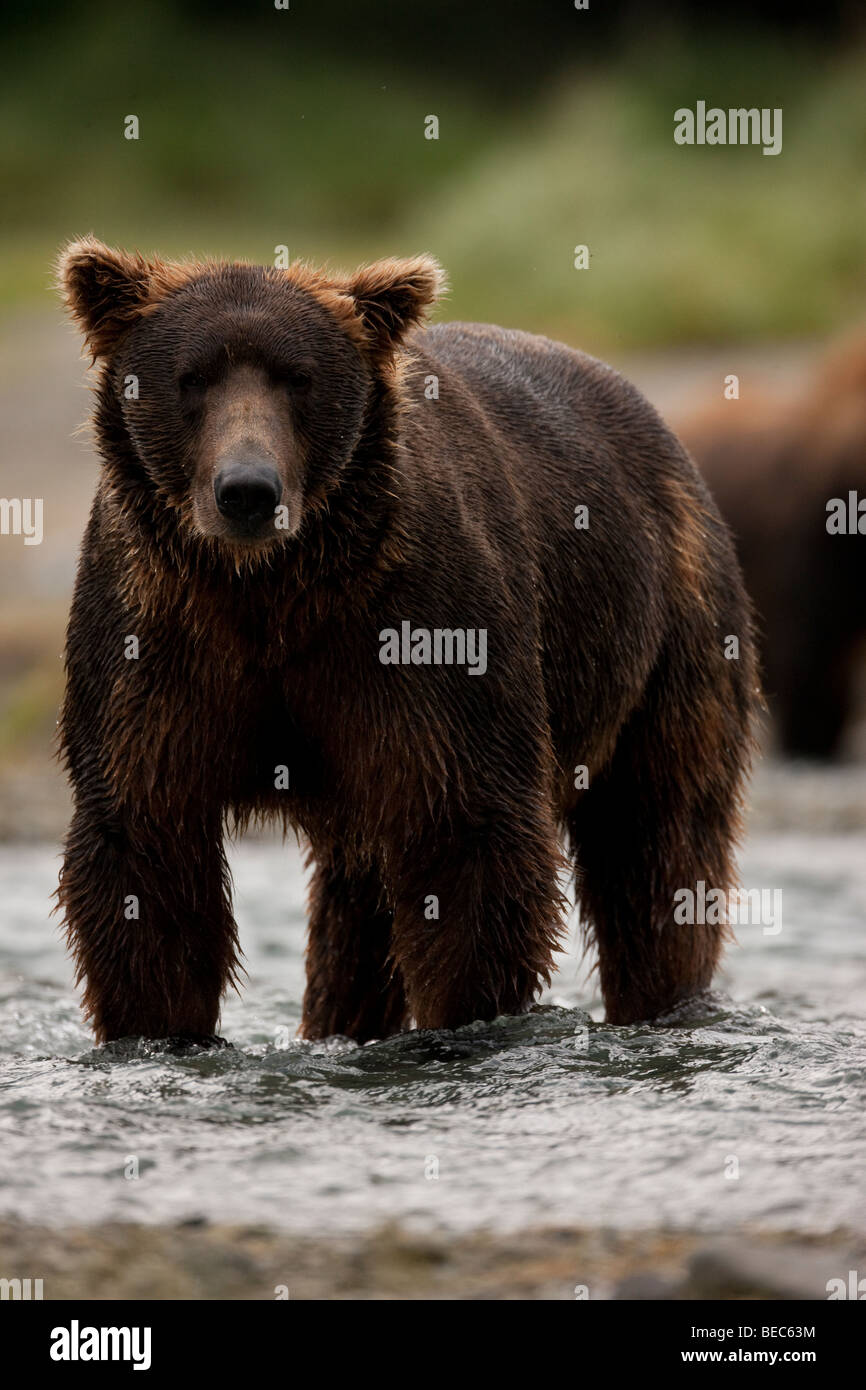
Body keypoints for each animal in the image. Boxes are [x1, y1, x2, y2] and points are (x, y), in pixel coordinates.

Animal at [55, 239, 756, 1045]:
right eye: (192, 377)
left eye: (299, 378)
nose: (249, 492)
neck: (273, 589)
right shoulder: (156, 641)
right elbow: (146, 848)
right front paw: (158, 1031)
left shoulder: (419, 631)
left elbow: (465, 836)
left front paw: (464, 1019)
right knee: (356, 902)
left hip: (669, 626)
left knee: (658, 839)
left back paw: (664, 1003)